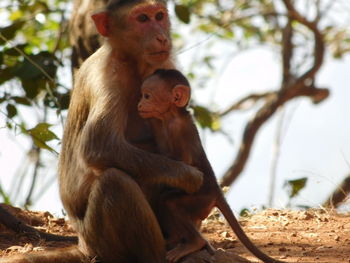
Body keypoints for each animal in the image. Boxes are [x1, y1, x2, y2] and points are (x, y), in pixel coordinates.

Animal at [137, 68, 284, 263]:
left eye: (147, 96)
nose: (140, 104)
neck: (174, 114)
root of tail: (216, 190)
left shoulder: (177, 128)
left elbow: (184, 164)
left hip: (202, 199)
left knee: (171, 202)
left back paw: (194, 243)